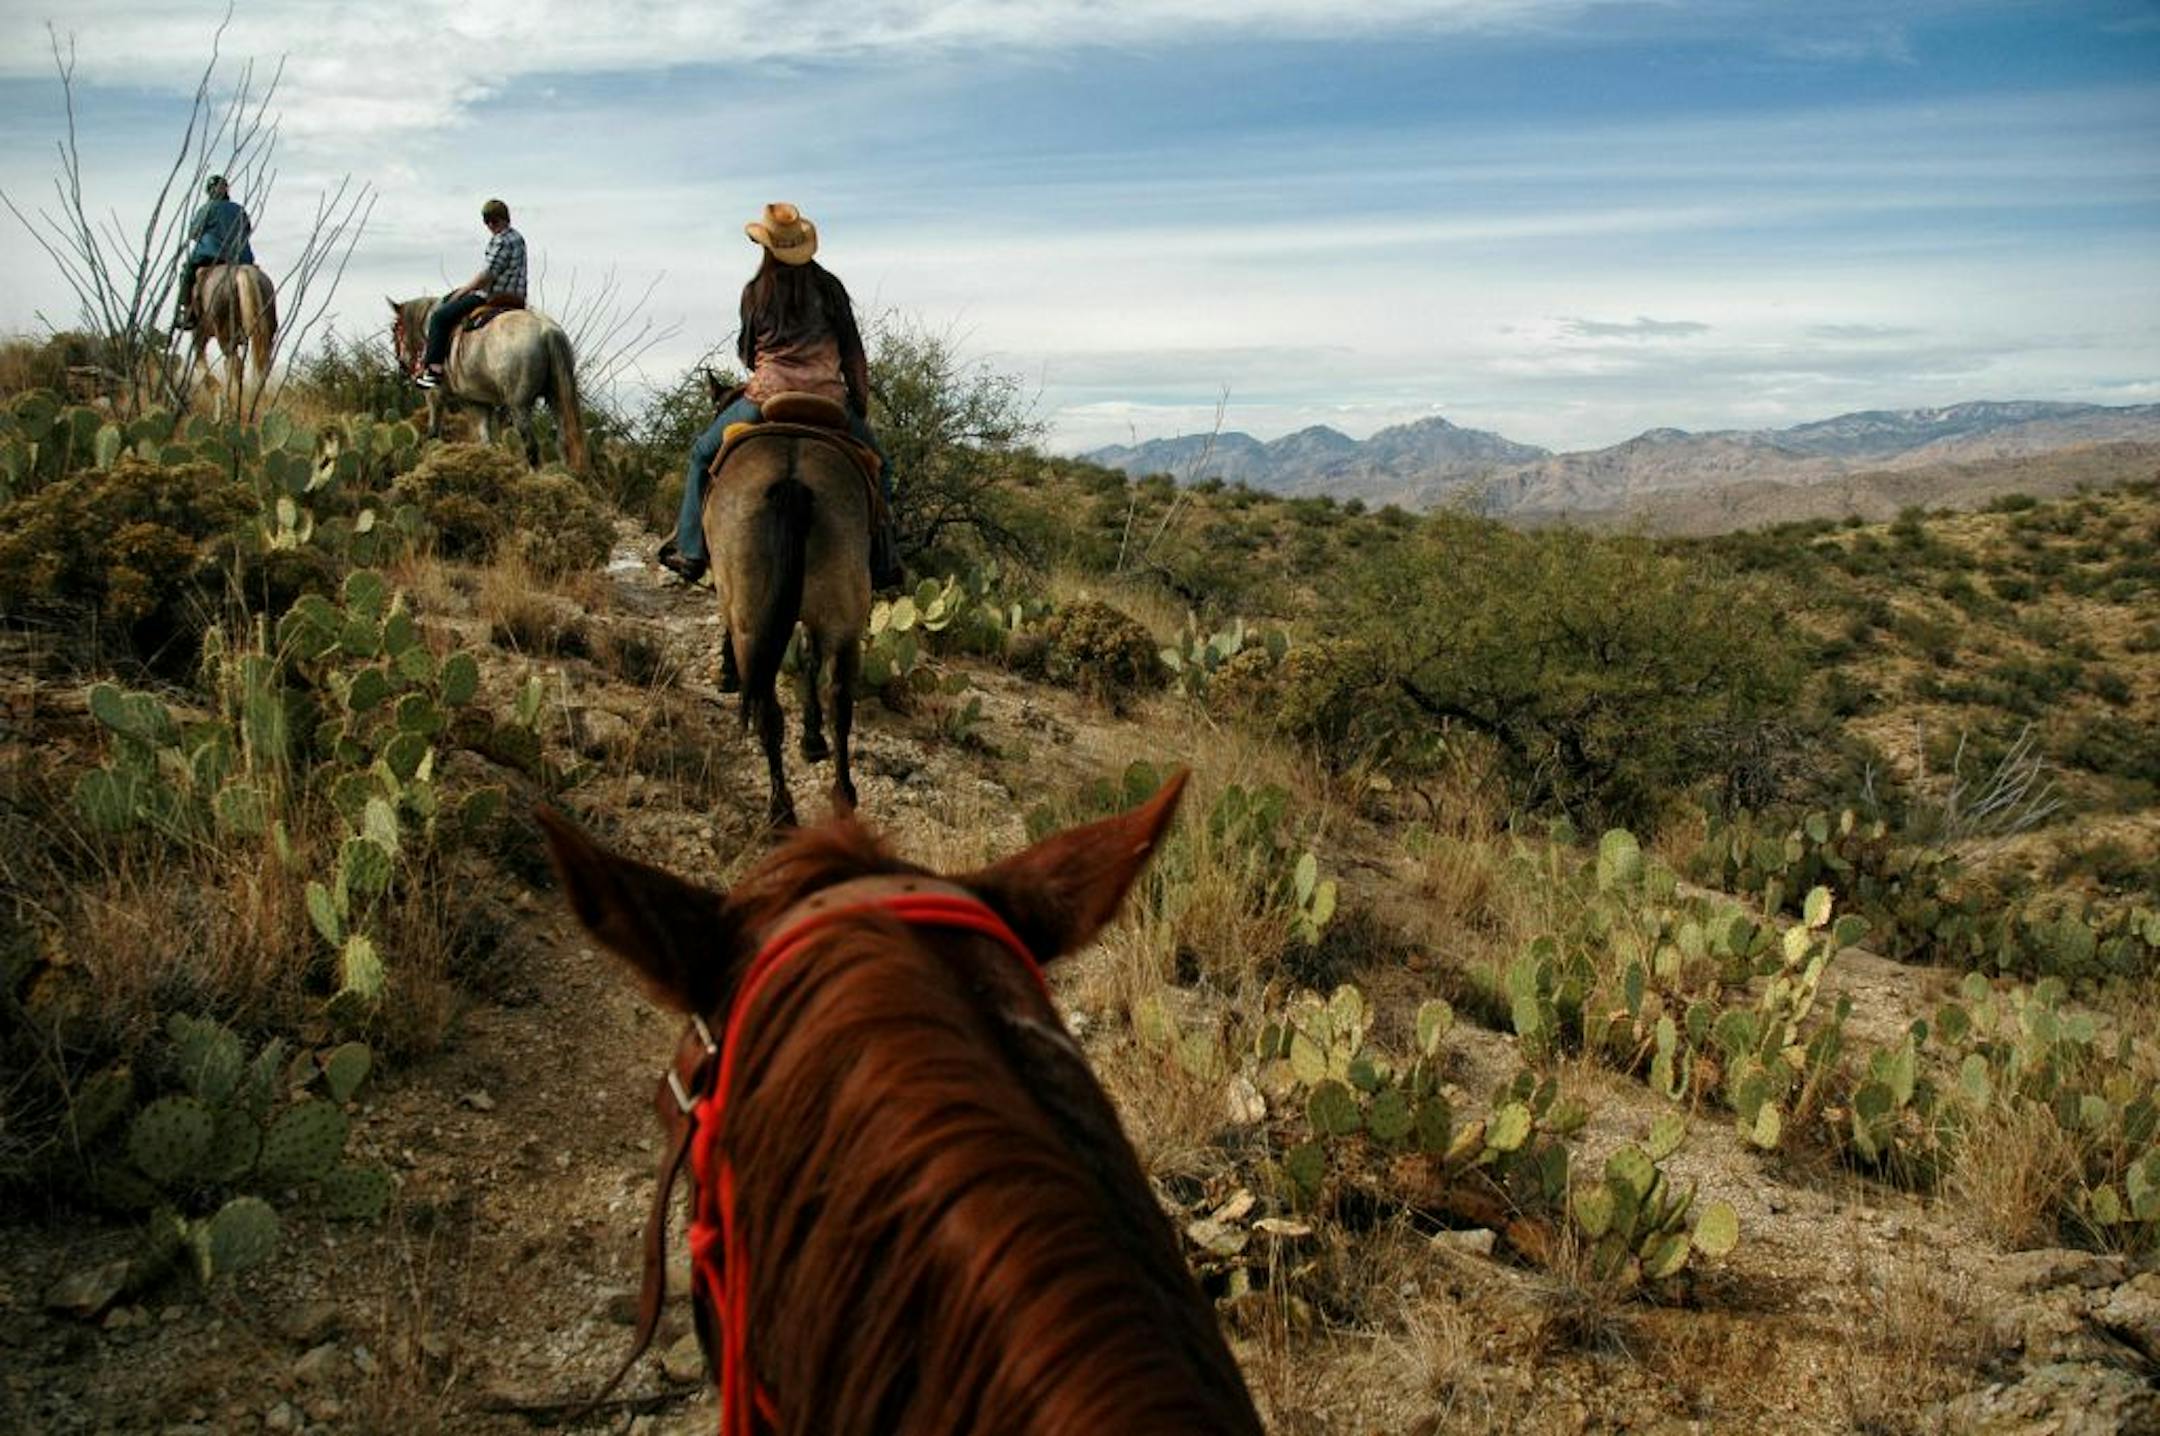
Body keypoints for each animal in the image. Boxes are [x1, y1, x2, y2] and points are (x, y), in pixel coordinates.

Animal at [180, 264, 276, 421]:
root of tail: (242, 271)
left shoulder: (199, 335)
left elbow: (202, 365)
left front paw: (219, 410)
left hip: (223, 336)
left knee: (234, 364)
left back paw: (233, 411)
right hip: (265, 337)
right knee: (260, 368)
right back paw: (260, 410)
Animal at [387, 296, 588, 473]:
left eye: (395, 328)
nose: (402, 365)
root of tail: (546, 331)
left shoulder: (437, 396)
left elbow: (433, 432)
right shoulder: (480, 403)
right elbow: (486, 441)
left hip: (519, 406)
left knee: (531, 447)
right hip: (556, 398)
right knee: (562, 441)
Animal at [708, 425, 872, 827]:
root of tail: (791, 478)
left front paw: (726, 673)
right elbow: (810, 662)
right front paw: (813, 739)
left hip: (752, 618)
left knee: (770, 708)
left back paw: (784, 811)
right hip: (844, 618)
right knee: (838, 700)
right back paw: (835, 800)